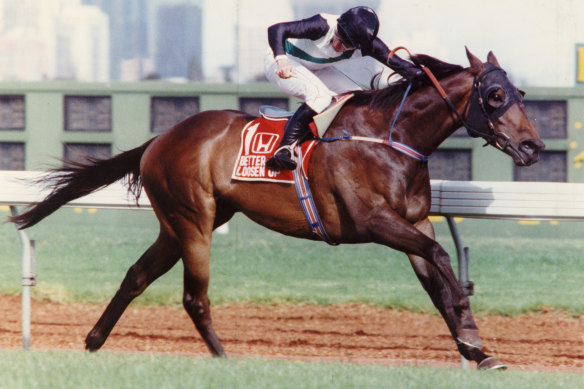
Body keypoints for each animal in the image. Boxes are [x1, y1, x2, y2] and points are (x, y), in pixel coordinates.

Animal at [11, 48, 544, 366]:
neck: (389, 136)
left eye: (520, 93)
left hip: (178, 225)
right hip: (194, 222)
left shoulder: (415, 223)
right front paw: (471, 336)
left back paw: (94, 341)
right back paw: (225, 360)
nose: (533, 147)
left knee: (136, 276)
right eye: (495, 94)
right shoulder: (375, 221)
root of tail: (159, 139)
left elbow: (437, 280)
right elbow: (441, 263)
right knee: (194, 297)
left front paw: (477, 349)